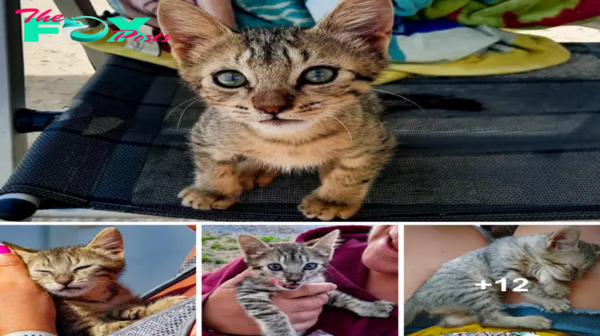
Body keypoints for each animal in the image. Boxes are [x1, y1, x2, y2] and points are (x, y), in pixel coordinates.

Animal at [4, 227, 185, 334]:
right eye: (45, 271)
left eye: (82, 267)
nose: (64, 280)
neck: (100, 299)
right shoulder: (78, 330)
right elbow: (112, 326)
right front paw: (164, 304)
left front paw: (131, 310)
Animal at [157, 0, 396, 220]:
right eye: (231, 78)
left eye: (318, 75)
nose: (270, 106)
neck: (288, 143)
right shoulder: (206, 131)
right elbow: (211, 161)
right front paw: (211, 190)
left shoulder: (376, 137)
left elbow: (354, 169)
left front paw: (333, 200)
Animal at [237, 231, 396, 336]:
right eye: (275, 267)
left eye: (310, 266)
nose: (294, 279)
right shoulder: (248, 292)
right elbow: (273, 314)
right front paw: (283, 333)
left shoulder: (320, 285)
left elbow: (345, 298)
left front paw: (371, 307)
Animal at [404, 227, 600, 330]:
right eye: (573, 269)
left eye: (585, 273)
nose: (576, 279)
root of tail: (417, 297)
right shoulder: (503, 272)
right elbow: (530, 286)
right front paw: (552, 300)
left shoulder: (533, 267)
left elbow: (544, 271)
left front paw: (554, 287)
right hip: (475, 288)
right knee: (491, 318)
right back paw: (532, 321)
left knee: (476, 318)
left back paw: (457, 319)